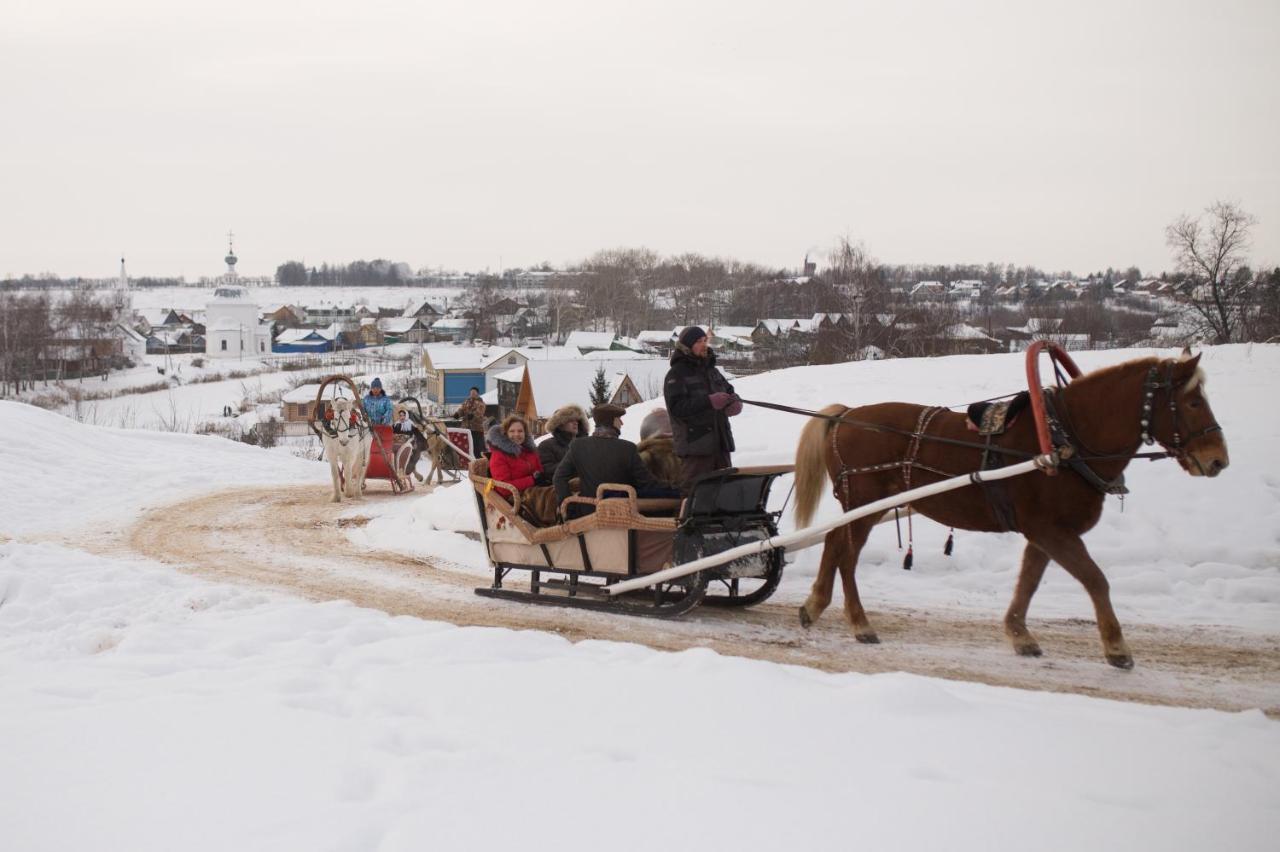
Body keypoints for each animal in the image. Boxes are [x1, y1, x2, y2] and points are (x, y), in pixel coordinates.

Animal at [788, 347, 1228, 665]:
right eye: (1192, 402)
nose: (1218, 460)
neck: (1064, 439)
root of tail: (846, 415)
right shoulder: (1050, 529)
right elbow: (1095, 579)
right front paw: (1117, 647)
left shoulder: (1045, 531)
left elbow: (1029, 580)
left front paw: (1019, 633)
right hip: (866, 501)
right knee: (847, 556)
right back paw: (859, 623)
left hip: (864, 505)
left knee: (833, 543)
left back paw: (815, 606)